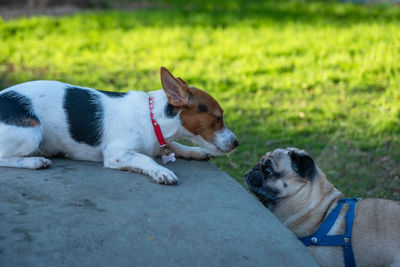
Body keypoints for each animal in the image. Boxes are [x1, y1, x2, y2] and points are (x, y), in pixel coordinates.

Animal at [0, 67, 238, 185]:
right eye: (219, 118)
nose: (236, 143)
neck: (152, 118)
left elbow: (175, 146)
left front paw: (195, 151)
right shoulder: (116, 154)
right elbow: (144, 158)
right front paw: (161, 171)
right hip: (33, 131)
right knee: (5, 158)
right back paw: (35, 162)